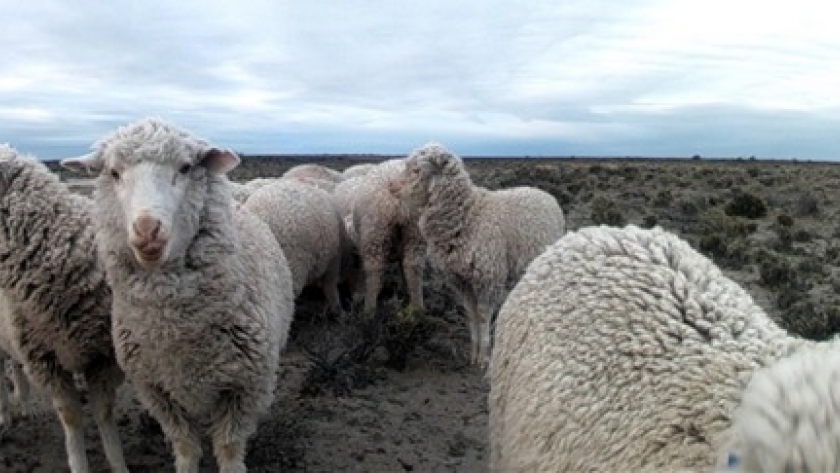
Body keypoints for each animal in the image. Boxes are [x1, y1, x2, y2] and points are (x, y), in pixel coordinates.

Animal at [0, 145, 128, 473]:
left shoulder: (102, 356)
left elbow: (105, 413)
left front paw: (118, 463)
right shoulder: (46, 360)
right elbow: (71, 418)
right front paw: (80, 464)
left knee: (14, 366)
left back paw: (22, 405)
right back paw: (5, 416)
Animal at [61, 118, 295, 473]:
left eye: (185, 167)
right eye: (114, 172)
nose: (147, 229)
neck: (175, 332)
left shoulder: (244, 389)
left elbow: (229, 448)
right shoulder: (156, 391)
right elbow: (185, 447)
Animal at [331, 157, 425, 315]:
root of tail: (398, 203)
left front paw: (358, 296)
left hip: (375, 232)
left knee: (374, 271)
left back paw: (369, 310)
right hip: (415, 231)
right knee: (413, 266)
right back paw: (416, 307)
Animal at [389, 143, 565, 366]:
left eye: (417, 170)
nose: (391, 187)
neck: (468, 214)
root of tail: (544, 193)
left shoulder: (488, 277)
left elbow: (482, 316)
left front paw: (484, 356)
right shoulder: (460, 280)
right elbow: (470, 314)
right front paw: (473, 354)